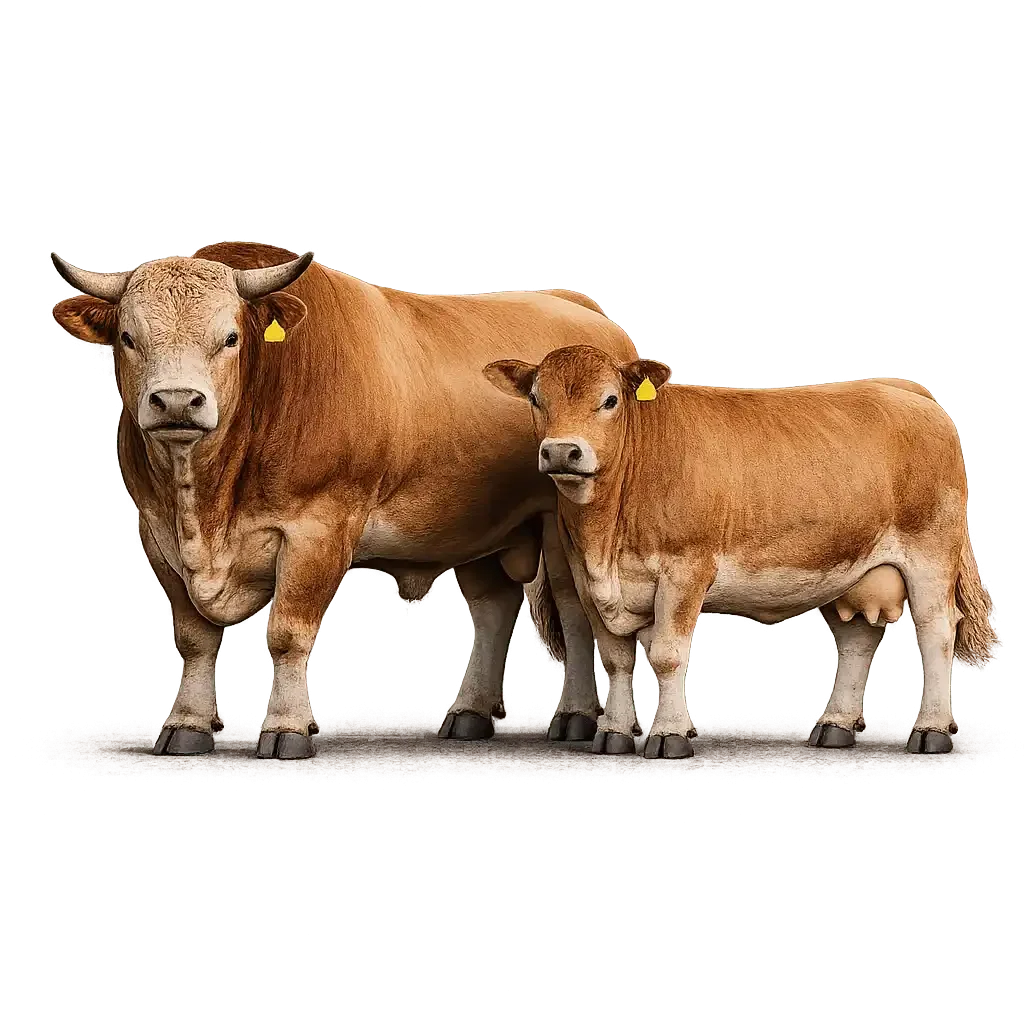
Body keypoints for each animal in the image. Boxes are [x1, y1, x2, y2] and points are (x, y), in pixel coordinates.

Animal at [48, 242, 640, 759]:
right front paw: (187, 724)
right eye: (128, 337)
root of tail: (579, 308)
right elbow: (193, 638)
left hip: (561, 527)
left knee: (574, 612)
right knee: (492, 608)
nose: (176, 401)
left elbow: (288, 634)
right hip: (475, 525)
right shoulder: (157, 535)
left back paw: (575, 717)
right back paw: (469, 712)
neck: (206, 505)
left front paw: (287, 728)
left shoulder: (318, 530)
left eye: (231, 337)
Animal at [484, 345, 1001, 758]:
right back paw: (835, 725)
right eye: (536, 398)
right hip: (846, 568)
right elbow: (615, 658)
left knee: (936, 632)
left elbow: (667, 654)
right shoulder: (586, 579)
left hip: (931, 552)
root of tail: (903, 390)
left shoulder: (685, 569)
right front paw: (614, 732)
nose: (561, 451)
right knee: (857, 639)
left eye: (609, 400)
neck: (606, 537)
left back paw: (931, 730)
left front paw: (670, 735)